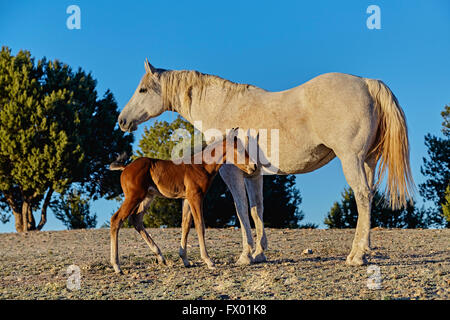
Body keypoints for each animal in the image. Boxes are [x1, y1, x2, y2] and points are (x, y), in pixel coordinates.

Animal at [109, 131, 256, 276]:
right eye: (240, 149)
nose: (253, 167)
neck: (202, 166)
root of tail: (126, 167)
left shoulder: (186, 199)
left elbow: (185, 225)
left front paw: (185, 260)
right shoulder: (195, 197)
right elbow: (200, 225)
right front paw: (209, 261)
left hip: (147, 197)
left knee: (136, 219)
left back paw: (160, 257)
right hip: (134, 197)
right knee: (116, 219)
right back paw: (117, 266)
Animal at [118, 60, 414, 264]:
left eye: (142, 89)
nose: (122, 121)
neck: (224, 106)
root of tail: (367, 83)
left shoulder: (232, 173)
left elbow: (240, 210)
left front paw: (245, 255)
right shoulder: (254, 174)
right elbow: (256, 209)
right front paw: (260, 252)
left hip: (351, 160)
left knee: (362, 196)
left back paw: (356, 255)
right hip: (368, 161)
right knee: (369, 195)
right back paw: (366, 248)